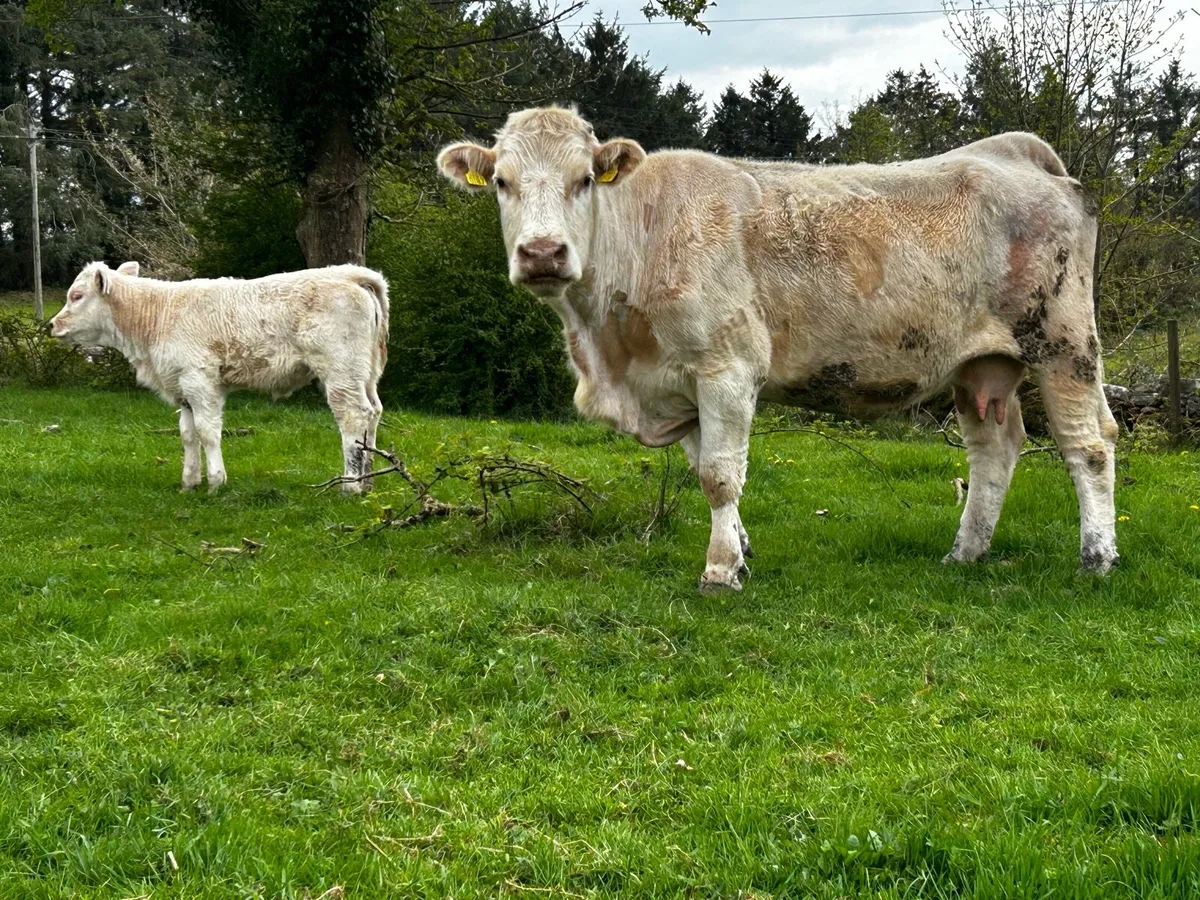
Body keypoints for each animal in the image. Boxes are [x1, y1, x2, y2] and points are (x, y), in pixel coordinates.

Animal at [50, 262, 389, 494]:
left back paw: (350, 485)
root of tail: (349, 274)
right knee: (374, 412)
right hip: (366, 373)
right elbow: (187, 434)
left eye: (76, 295)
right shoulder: (182, 386)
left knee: (352, 416)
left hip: (340, 371)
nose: (52, 324)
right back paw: (368, 481)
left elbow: (208, 431)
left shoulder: (201, 382)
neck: (159, 315)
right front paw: (189, 482)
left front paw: (215, 482)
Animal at [437, 106, 1119, 591]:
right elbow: (707, 470)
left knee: (1088, 446)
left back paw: (1097, 558)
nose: (542, 253)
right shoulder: (681, 386)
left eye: (584, 181)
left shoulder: (727, 366)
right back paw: (966, 552)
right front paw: (739, 553)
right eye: (501, 182)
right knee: (994, 450)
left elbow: (719, 475)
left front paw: (718, 572)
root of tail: (1012, 152)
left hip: (1063, 343)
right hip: (979, 364)